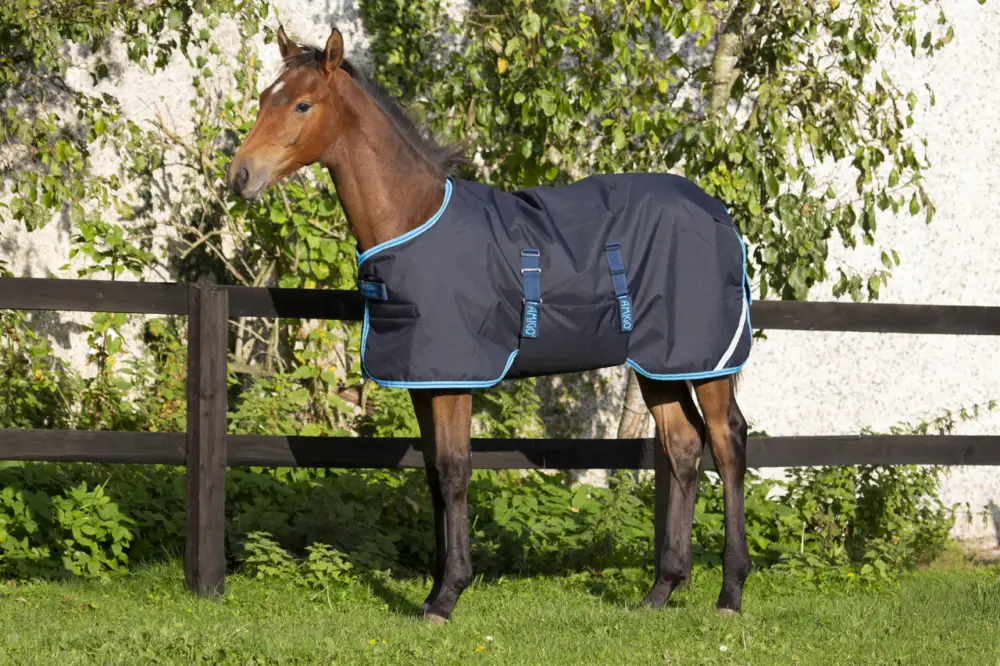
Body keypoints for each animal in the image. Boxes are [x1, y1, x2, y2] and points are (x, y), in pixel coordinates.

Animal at [227, 25, 752, 624]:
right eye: (264, 97)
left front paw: (448, 596)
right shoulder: (424, 381)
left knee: (727, 443)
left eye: (302, 104)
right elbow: (433, 475)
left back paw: (730, 592)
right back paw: (661, 590)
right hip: (658, 365)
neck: (414, 218)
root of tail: (719, 212)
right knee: (684, 448)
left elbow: (455, 471)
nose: (240, 176)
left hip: (707, 361)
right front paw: (433, 590)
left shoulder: (456, 380)